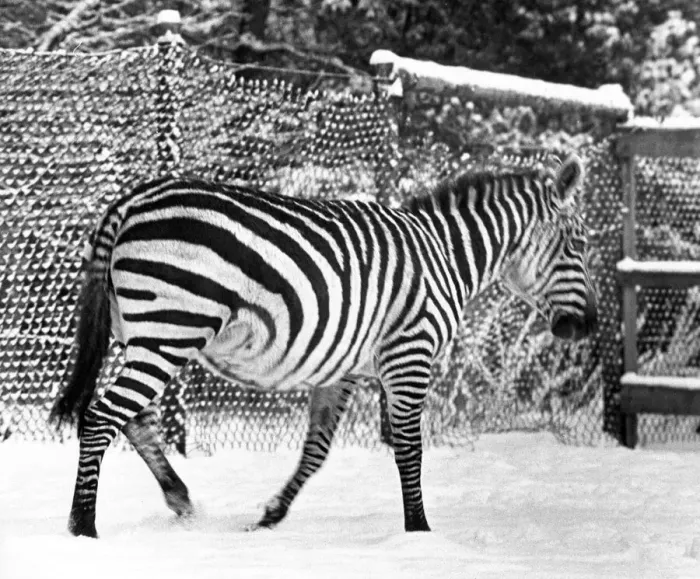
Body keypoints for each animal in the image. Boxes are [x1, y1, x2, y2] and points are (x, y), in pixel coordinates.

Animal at [50, 152, 597, 538]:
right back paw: (82, 527)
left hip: (142, 334)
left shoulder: (344, 369)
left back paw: (178, 497)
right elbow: (409, 450)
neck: (444, 255)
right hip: (171, 328)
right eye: (579, 245)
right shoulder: (410, 354)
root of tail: (129, 202)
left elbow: (316, 450)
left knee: (132, 418)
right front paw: (419, 532)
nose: (587, 325)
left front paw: (271, 515)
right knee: (101, 416)